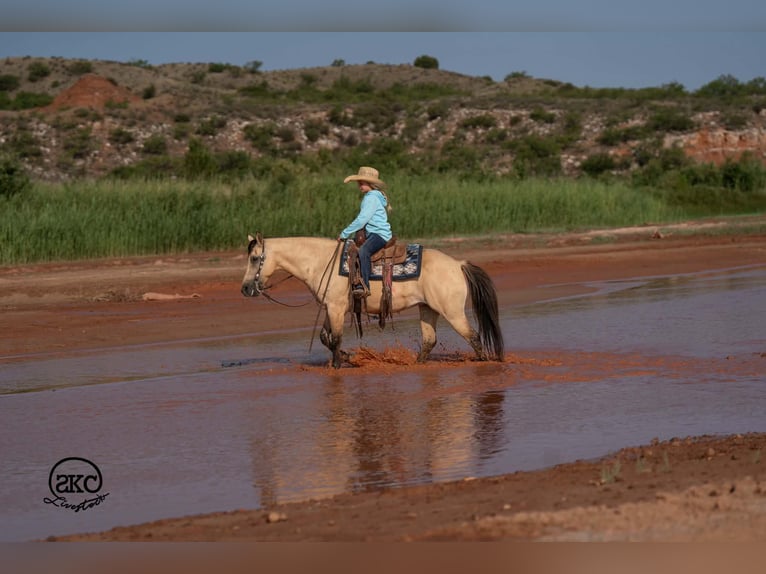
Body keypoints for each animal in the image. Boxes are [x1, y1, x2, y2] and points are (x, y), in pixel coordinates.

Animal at [240, 232, 504, 368]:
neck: (319, 262)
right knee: (430, 340)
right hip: (428, 309)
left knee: (473, 336)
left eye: (254, 258)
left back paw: (484, 362)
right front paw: (349, 357)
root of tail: (458, 264)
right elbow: (325, 338)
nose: (245, 288)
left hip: (452, 312)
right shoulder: (331, 308)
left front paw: (338, 365)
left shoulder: (336, 309)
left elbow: (335, 339)